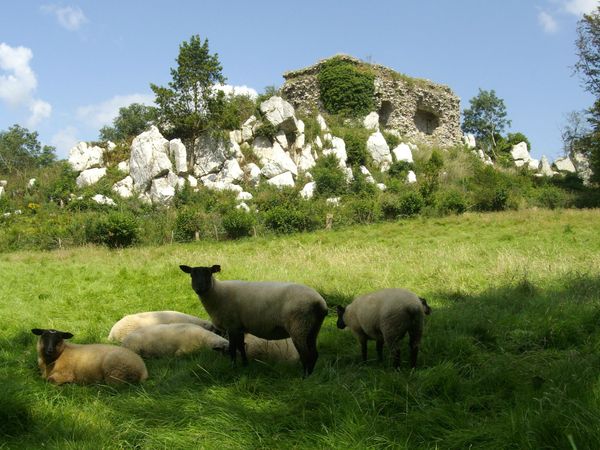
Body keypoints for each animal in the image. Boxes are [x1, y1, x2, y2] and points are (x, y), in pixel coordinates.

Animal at [179, 264, 328, 376]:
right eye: (192, 275)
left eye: (208, 273)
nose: (199, 289)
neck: (218, 293)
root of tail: (319, 303)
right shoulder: (239, 327)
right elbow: (241, 346)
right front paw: (245, 365)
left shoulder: (232, 326)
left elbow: (233, 348)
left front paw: (233, 367)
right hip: (312, 328)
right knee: (314, 354)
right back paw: (310, 376)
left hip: (299, 326)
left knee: (306, 355)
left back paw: (304, 378)